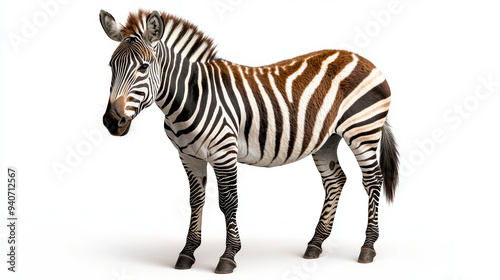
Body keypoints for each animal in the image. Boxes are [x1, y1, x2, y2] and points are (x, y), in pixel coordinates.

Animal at [99, 9, 400, 274]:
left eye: (143, 67)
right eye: (111, 66)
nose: (112, 121)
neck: (189, 99)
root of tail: (362, 58)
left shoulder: (223, 152)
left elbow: (228, 202)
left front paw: (228, 256)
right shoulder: (189, 156)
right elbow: (196, 200)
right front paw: (187, 252)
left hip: (363, 130)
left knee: (372, 180)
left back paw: (368, 247)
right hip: (327, 139)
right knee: (335, 180)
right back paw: (316, 243)